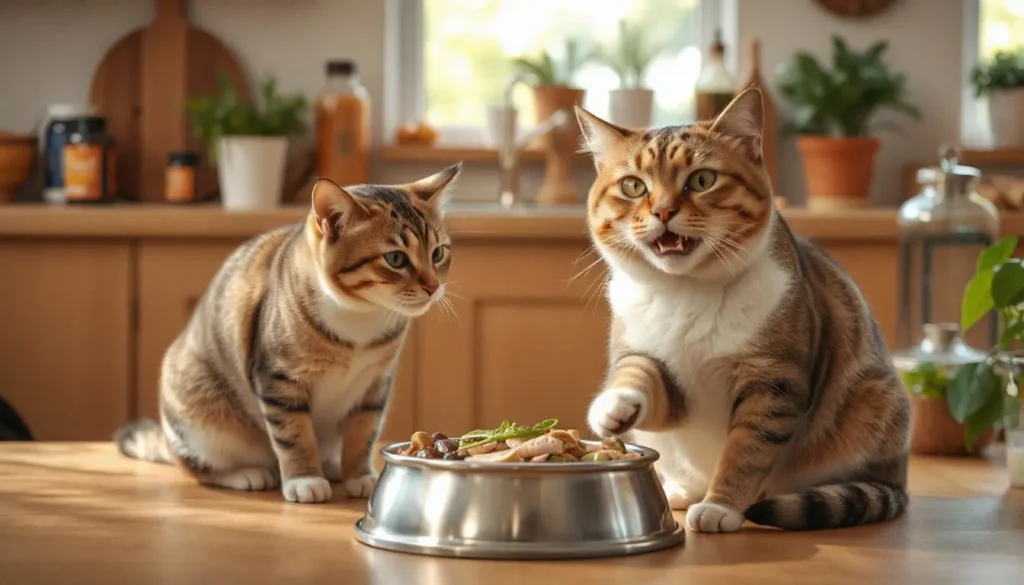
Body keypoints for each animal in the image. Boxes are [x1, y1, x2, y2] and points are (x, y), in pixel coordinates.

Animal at [115, 164, 460, 504]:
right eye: (396, 258)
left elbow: (363, 432)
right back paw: (247, 474)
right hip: (202, 415)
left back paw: (331, 466)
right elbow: (294, 435)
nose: (433, 287)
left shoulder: (375, 384)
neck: (361, 319)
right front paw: (305, 480)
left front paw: (359, 476)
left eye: (438, 253)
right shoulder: (278, 378)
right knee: (196, 465)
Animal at [581, 89, 909, 532]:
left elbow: (746, 448)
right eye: (633, 186)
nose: (663, 211)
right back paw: (679, 490)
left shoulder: (773, 380)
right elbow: (639, 376)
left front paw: (721, 506)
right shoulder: (653, 362)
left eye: (702, 179)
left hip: (875, 405)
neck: (684, 292)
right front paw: (613, 406)